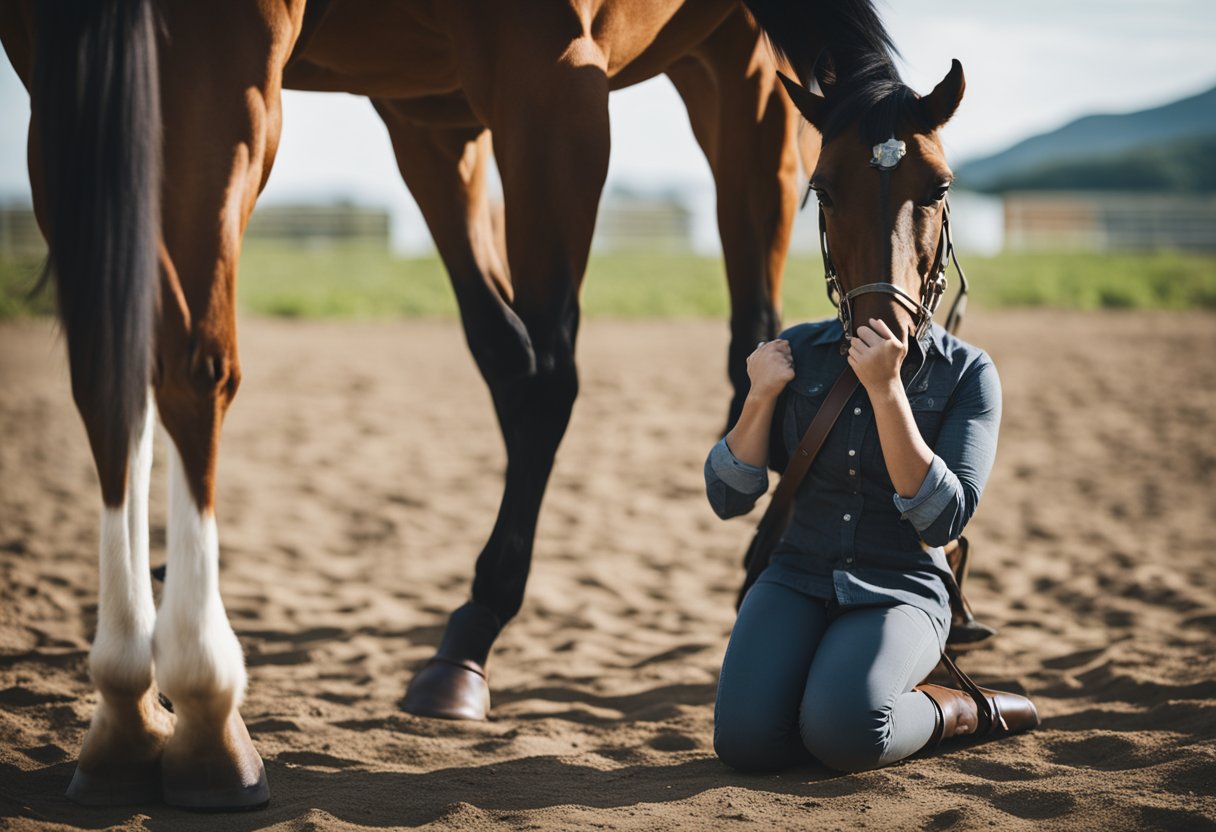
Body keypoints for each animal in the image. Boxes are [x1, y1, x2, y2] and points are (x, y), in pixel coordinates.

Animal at [1, 0, 814, 810]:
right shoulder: (426, 116)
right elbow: (112, 369)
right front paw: (128, 714)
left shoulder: (547, 74)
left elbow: (542, 376)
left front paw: (204, 716)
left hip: (751, 78)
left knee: (767, 313)